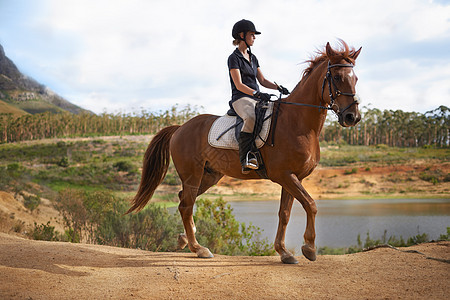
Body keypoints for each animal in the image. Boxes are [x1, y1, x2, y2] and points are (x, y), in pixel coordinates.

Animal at [127, 41, 362, 264]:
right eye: (337, 77)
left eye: (356, 78)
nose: (352, 117)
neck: (297, 122)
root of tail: (180, 128)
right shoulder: (285, 175)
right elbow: (311, 205)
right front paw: (309, 248)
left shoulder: (294, 178)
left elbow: (285, 213)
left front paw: (284, 252)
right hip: (193, 174)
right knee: (186, 204)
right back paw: (198, 248)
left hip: (210, 175)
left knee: (183, 199)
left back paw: (186, 238)